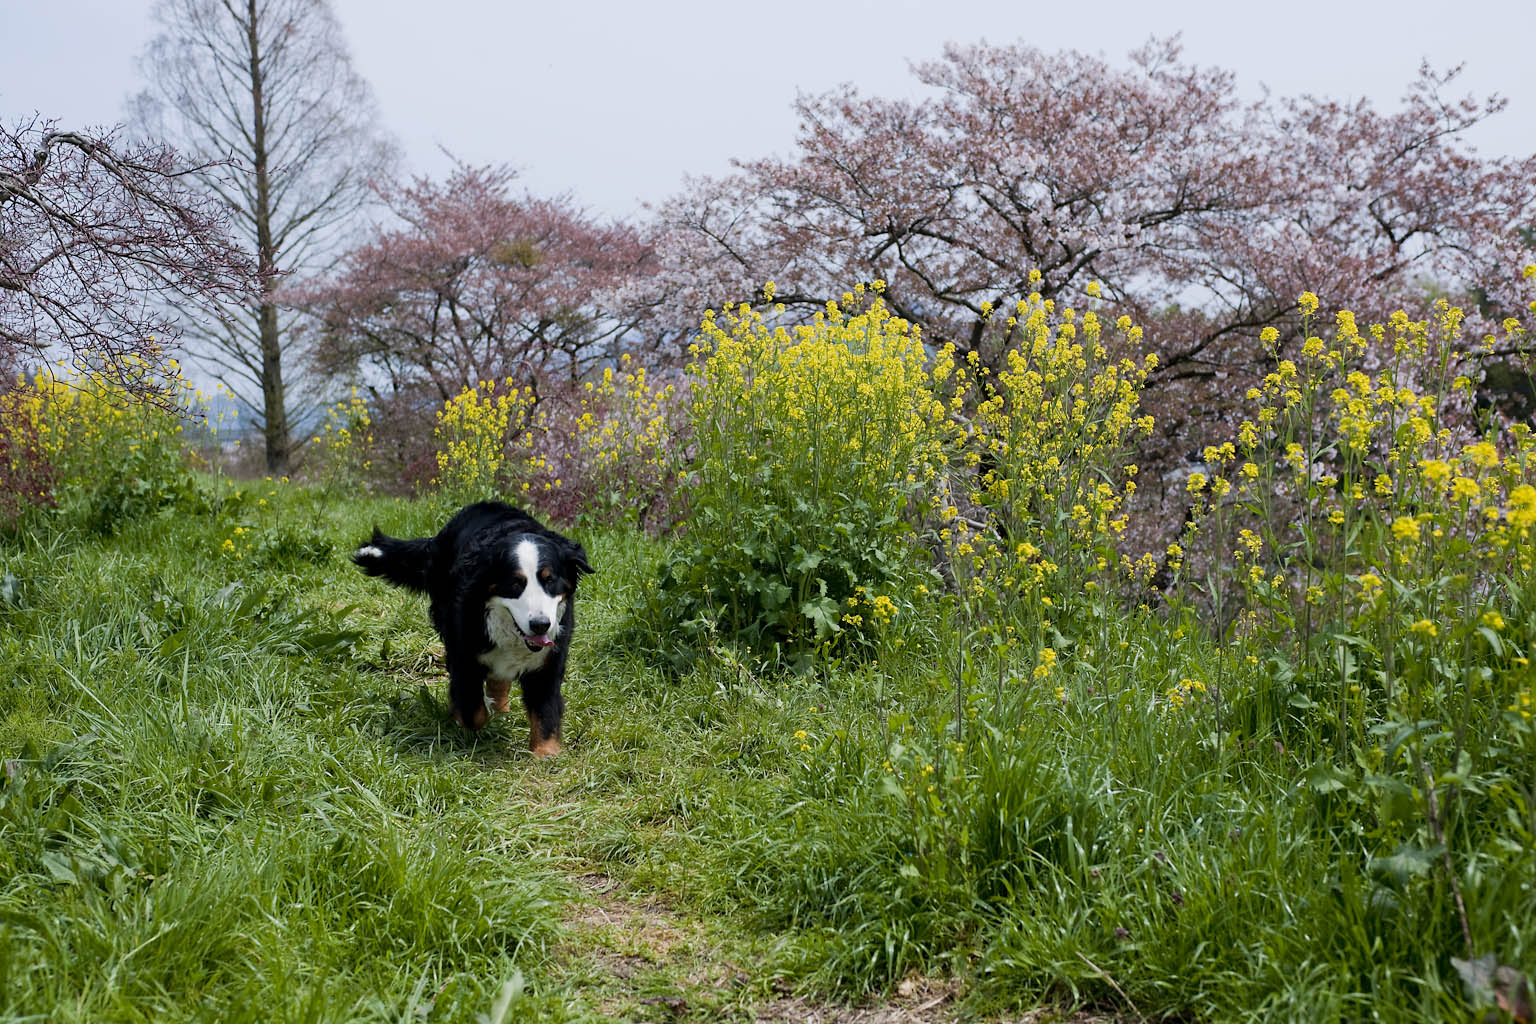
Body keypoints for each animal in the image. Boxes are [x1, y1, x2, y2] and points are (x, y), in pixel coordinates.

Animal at [353, 500, 592, 758]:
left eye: (550, 580)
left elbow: (545, 712)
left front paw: (545, 754)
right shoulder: (463, 654)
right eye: (515, 583)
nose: (540, 624)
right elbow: (472, 710)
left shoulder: (548, 662)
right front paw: (462, 719)